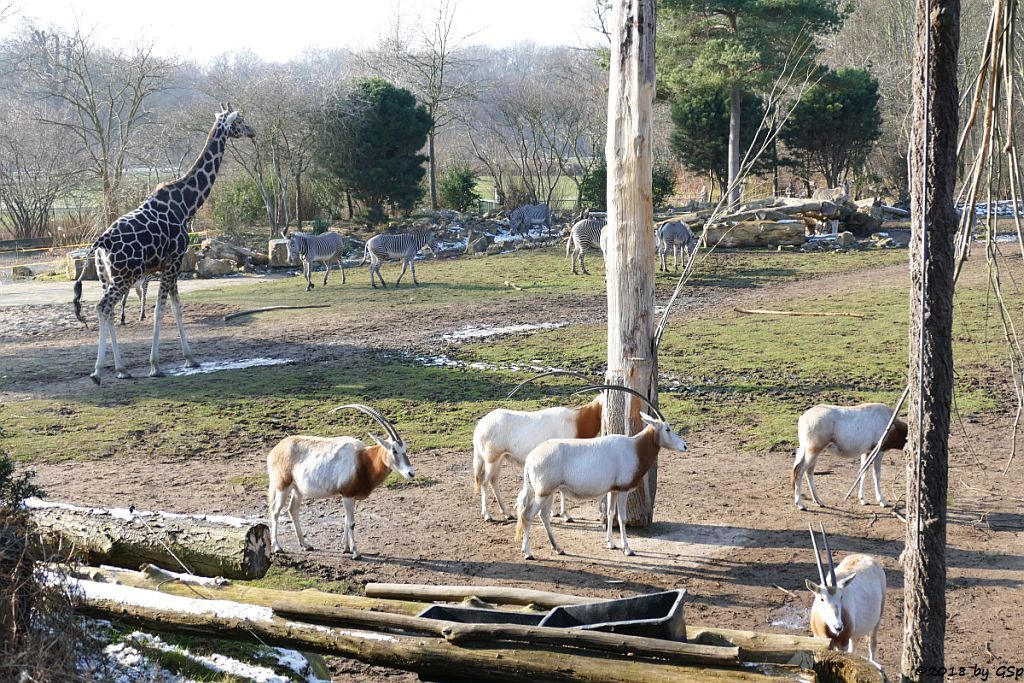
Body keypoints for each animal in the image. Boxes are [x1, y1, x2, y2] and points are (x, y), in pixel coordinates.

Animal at [72, 105, 256, 385]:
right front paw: (155, 365)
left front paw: (191, 359)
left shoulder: (168, 265)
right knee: (103, 306)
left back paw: (121, 369)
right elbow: (161, 309)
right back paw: (97, 373)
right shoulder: (173, 261)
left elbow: (176, 307)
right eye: (240, 121)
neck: (187, 205)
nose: (253, 131)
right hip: (125, 275)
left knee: (109, 311)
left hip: (107, 276)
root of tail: (101, 243)